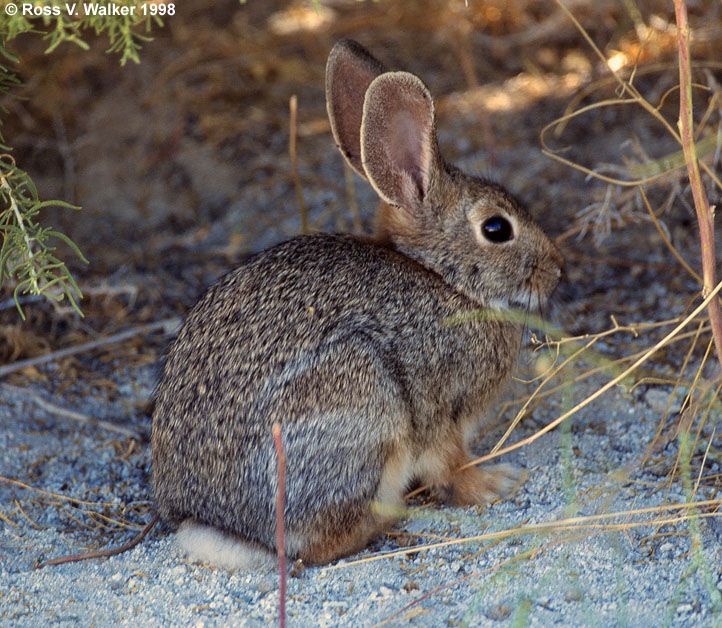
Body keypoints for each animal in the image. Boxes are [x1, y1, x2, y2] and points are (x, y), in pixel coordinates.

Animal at [150, 39, 564, 568]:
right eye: (496, 228)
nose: (557, 269)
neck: (442, 278)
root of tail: (219, 526)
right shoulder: (442, 413)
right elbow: (451, 469)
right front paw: (497, 483)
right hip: (364, 406)